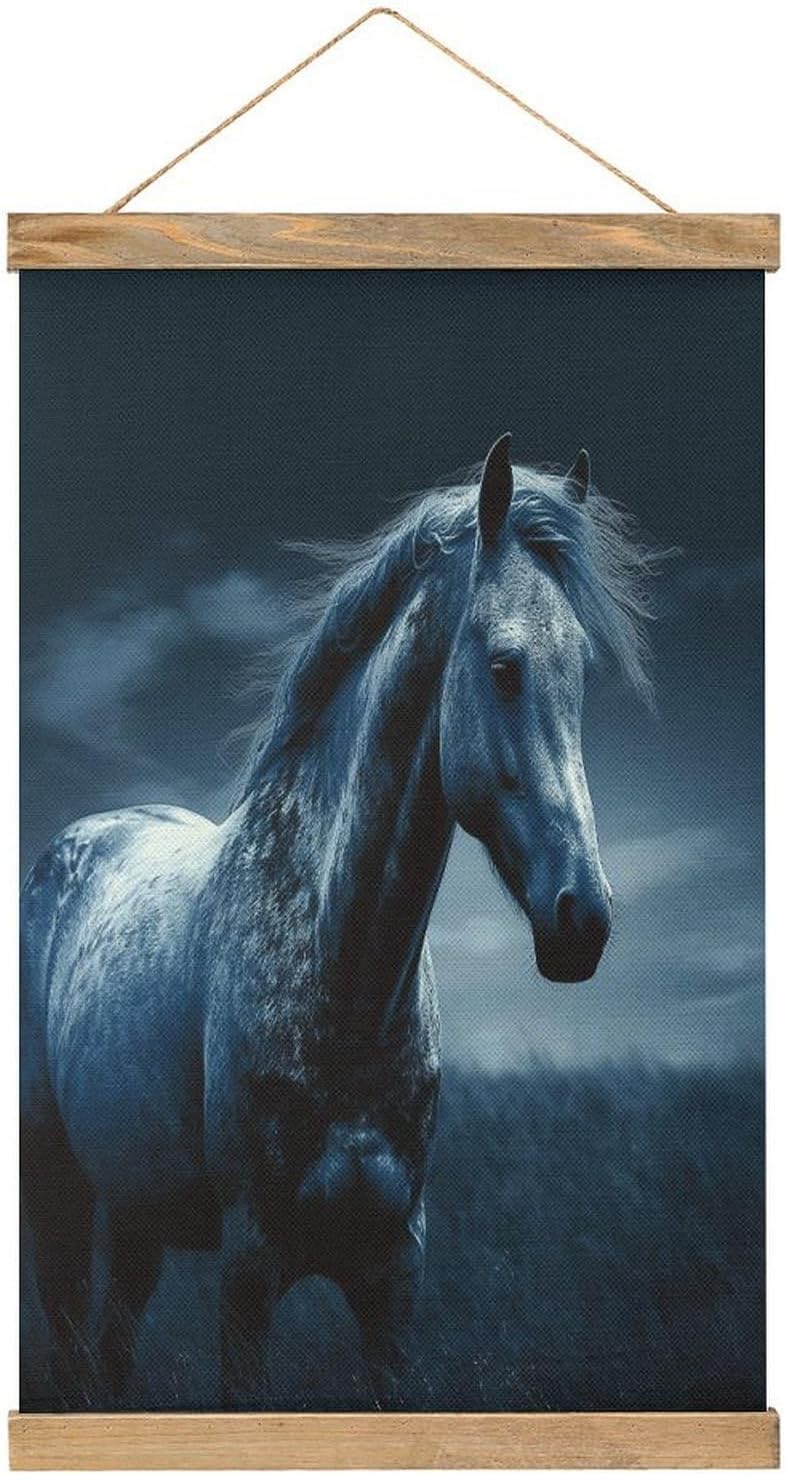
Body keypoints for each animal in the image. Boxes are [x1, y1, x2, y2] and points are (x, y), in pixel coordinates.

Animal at [21, 433, 653, 1409]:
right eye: (503, 667)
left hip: (135, 1217)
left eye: (580, 668)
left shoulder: (394, 1269)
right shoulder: (250, 1267)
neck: (340, 969)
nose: (582, 918)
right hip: (56, 1196)